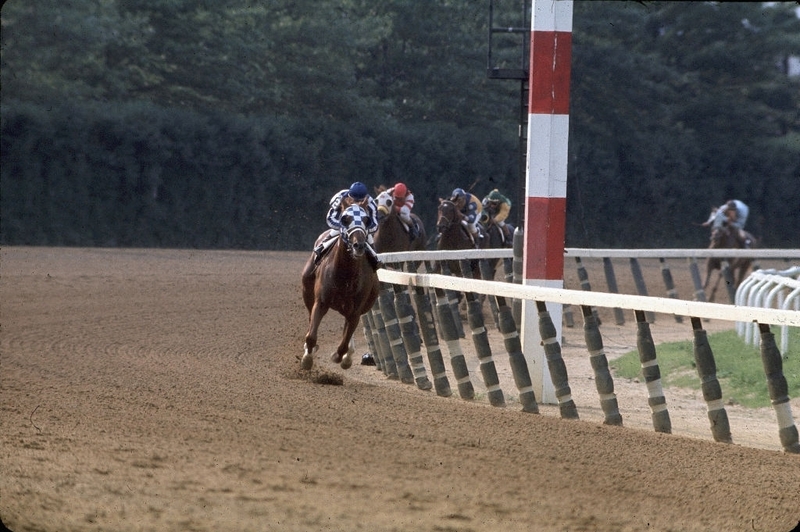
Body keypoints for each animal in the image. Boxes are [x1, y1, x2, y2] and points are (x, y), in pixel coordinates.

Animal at [302, 204, 380, 370]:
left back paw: (348, 356)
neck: (345, 273)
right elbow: (311, 336)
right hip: (308, 292)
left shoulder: (355, 311)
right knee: (311, 319)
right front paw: (307, 359)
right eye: (345, 219)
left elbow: (344, 342)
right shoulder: (321, 302)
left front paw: (340, 357)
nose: (359, 245)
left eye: (366, 220)